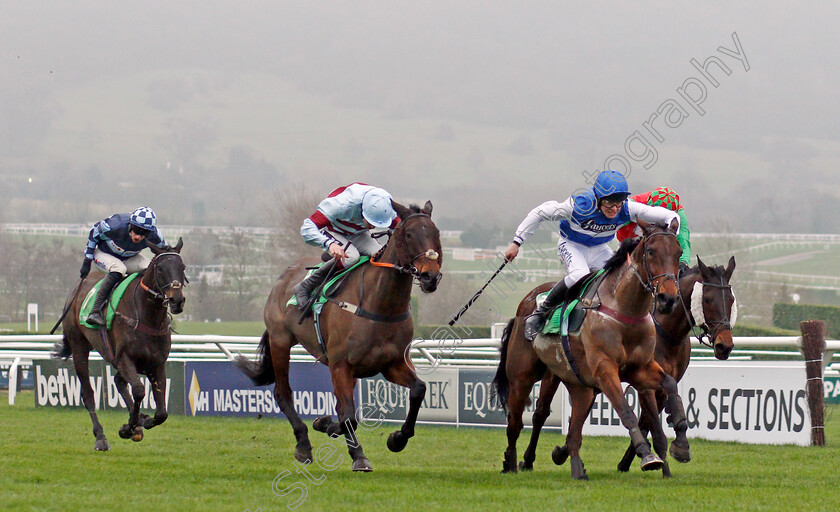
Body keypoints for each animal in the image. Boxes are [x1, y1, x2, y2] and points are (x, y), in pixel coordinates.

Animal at [53, 238, 187, 450]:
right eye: (160, 269)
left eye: (182, 267)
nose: (177, 300)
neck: (146, 316)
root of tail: (75, 290)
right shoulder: (125, 358)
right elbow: (139, 390)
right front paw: (128, 427)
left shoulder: (157, 363)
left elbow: (162, 413)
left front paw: (141, 421)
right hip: (79, 347)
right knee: (88, 393)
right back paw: (101, 437)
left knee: (118, 381)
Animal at [236, 203, 442, 472]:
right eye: (409, 234)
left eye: (436, 233)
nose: (431, 277)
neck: (381, 305)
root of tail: (284, 278)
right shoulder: (340, 364)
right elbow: (349, 417)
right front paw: (342, 440)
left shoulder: (392, 364)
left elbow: (418, 389)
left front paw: (396, 438)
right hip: (280, 341)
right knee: (283, 393)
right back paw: (303, 444)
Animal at [492, 252, 736, 476]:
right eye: (707, 300)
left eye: (732, 300)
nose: (724, 345)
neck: (666, 333)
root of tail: (528, 300)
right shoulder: (644, 385)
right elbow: (649, 424)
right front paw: (650, 460)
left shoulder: (657, 382)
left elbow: (650, 421)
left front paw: (642, 460)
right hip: (547, 373)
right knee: (540, 413)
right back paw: (526, 460)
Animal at [496, 221, 684, 480]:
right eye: (651, 251)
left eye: (678, 253)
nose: (668, 299)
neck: (625, 310)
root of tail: (523, 307)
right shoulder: (605, 370)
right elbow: (626, 411)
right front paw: (647, 455)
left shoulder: (640, 369)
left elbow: (669, 385)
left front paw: (680, 436)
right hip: (521, 378)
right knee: (516, 423)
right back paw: (512, 462)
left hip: (579, 385)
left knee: (573, 431)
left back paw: (576, 467)